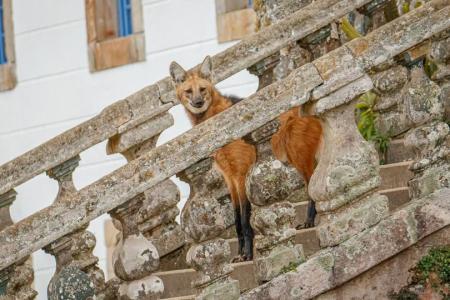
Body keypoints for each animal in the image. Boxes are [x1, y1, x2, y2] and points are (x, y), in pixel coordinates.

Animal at [171, 56, 256, 262]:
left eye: (202, 89)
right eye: (188, 91)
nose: (198, 102)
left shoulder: (241, 173)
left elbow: (244, 217)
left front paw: (249, 254)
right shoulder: (229, 177)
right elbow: (236, 218)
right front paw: (240, 253)